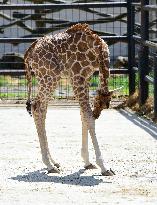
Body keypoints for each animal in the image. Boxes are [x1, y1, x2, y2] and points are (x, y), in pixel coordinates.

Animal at [24, 22, 115, 176]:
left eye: (106, 105)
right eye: (98, 102)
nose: (97, 114)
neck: (97, 49)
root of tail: (30, 51)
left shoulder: (86, 77)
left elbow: (83, 115)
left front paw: (87, 162)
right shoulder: (77, 77)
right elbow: (88, 117)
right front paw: (104, 167)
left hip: (46, 78)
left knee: (41, 110)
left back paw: (53, 162)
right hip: (50, 77)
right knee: (36, 107)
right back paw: (49, 165)